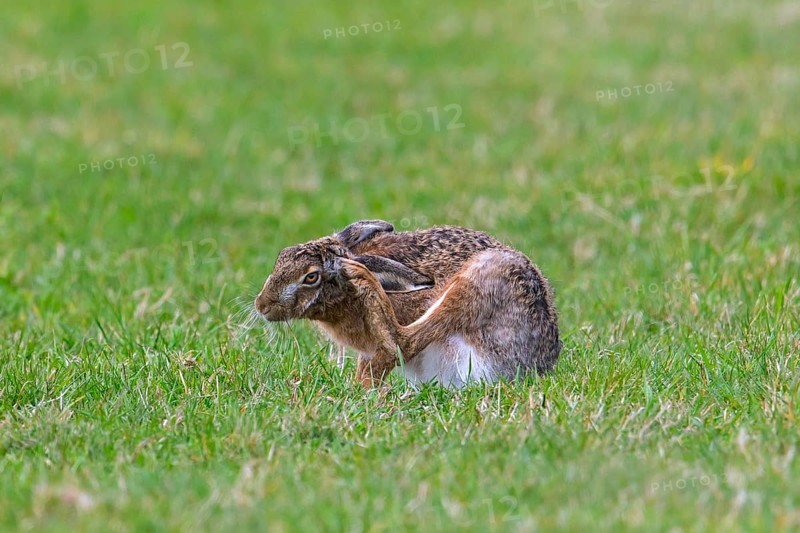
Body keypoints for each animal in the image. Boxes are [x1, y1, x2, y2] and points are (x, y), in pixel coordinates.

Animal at [254, 219, 562, 388]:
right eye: (282, 255)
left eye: (311, 277)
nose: (261, 305)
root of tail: (537, 364)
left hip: (481, 279)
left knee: (404, 341)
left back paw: (361, 276)